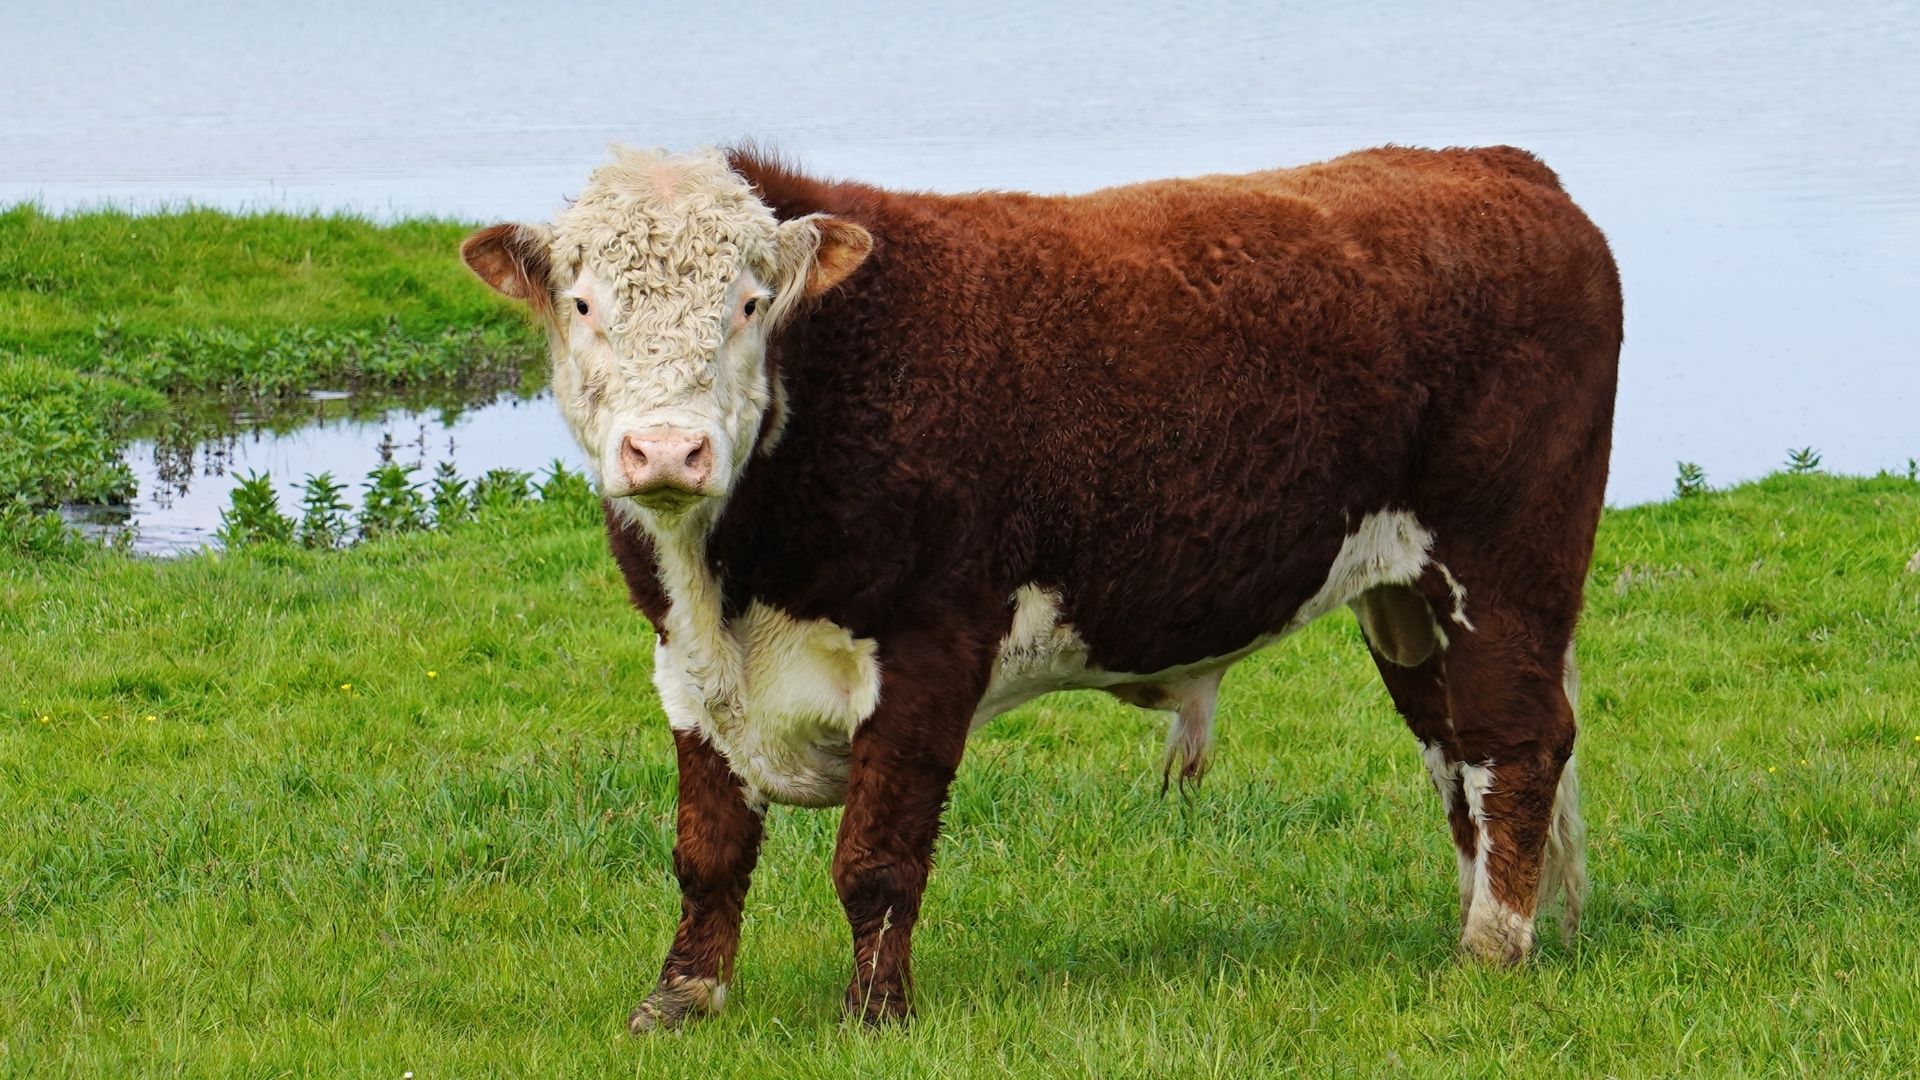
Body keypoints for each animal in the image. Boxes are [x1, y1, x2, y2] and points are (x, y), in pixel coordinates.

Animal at [460, 143, 1622, 1030]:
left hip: (1506, 563)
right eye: (582, 303)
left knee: (1519, 742)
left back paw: (1492, 950)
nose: (667, 450)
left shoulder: (931, 647)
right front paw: (679, 1003)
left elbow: (876, 860)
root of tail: (1501, 167)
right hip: (1406, 601)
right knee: (1455, 752)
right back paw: (1473, 923)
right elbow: (707, 851)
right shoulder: (686, 670)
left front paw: (874, 1016)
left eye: (749, 304)